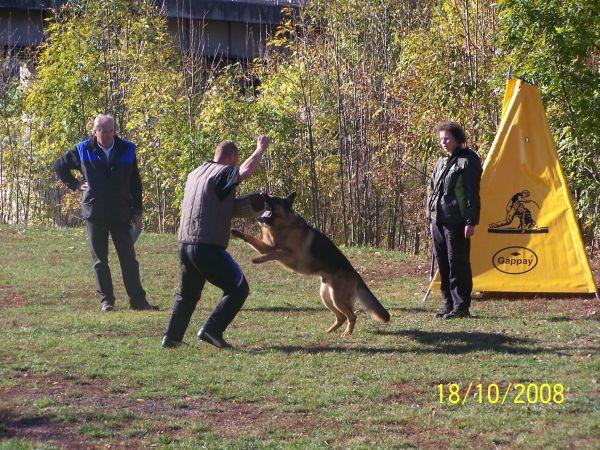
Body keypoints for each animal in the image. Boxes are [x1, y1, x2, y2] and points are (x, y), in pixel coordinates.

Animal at [232, 192, 392, 336]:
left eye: (274, 199)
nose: (262, 193)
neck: (284, 227)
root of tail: (356, 275)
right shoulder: (267, 246)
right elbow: (254, 240)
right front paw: (237, 233)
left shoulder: (290, 255)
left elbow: (275, 253)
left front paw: (257, 259)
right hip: (326, 296)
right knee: (341, 317)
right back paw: (329, 331)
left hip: (337, 299)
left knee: (352, 316)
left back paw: (347, 332)